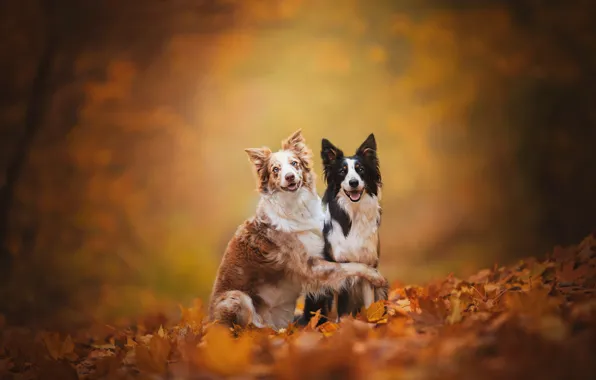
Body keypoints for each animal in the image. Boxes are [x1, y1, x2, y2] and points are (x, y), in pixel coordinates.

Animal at [298, 134, 386, 326]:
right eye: (342, 172)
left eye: (360, 169)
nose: (353, 182)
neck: (353, 212)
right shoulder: (335, 265)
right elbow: (336, 309)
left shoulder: (368, 264)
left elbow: (369, 304)